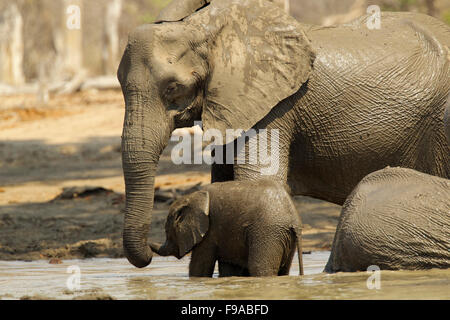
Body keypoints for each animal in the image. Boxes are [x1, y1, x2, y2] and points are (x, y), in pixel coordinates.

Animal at [149, 180, 304, 278]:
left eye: (166, 231)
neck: (193, 196)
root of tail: (293, 218)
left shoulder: (209, 232)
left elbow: (199, 268)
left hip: (269, 231)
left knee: (260, 268)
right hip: (285, 236)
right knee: (284, 270)